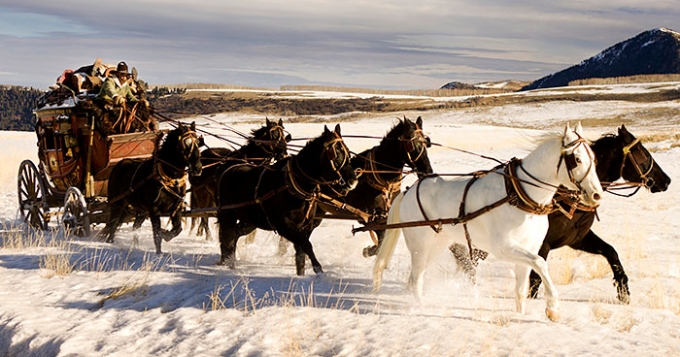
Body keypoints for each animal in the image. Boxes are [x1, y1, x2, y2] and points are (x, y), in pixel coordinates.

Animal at [218, 124, 358, 274]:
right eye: (334, 153)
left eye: (347, 152)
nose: (352, 181)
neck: (292, 186)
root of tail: (228, 167)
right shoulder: (284, 227)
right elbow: (306, 245)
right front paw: (318, 269)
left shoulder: (305, 226)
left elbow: (301, 254)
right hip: (227, 216)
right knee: (227, 240)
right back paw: (228, 263)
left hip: (249, 222)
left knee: (235, 235)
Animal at [318, 114, 432, 256]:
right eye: (411, 145)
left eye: (426, 143)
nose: (427, 171)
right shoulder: (366, 215)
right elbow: (379, 237)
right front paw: (369, 250)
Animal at [374, 122, 604, 320]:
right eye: (577, 159)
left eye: (594, 158)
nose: (597, 195)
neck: (520, 195)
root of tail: (408, 191)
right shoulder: (504, 248)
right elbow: (541, 264)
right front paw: (553, 308)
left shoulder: (529, 247)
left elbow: (522, 289)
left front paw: (520, 314)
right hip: (419, 246)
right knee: (416, 279)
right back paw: (420, 307)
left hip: (437, 245)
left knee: (415, 277)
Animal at [452, 125, 668, 304]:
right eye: (642, 153)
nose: (666, 181)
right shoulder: (543, 245)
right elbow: (535, 281)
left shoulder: (577, 238)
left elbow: (611, 252)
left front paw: (623, 292)